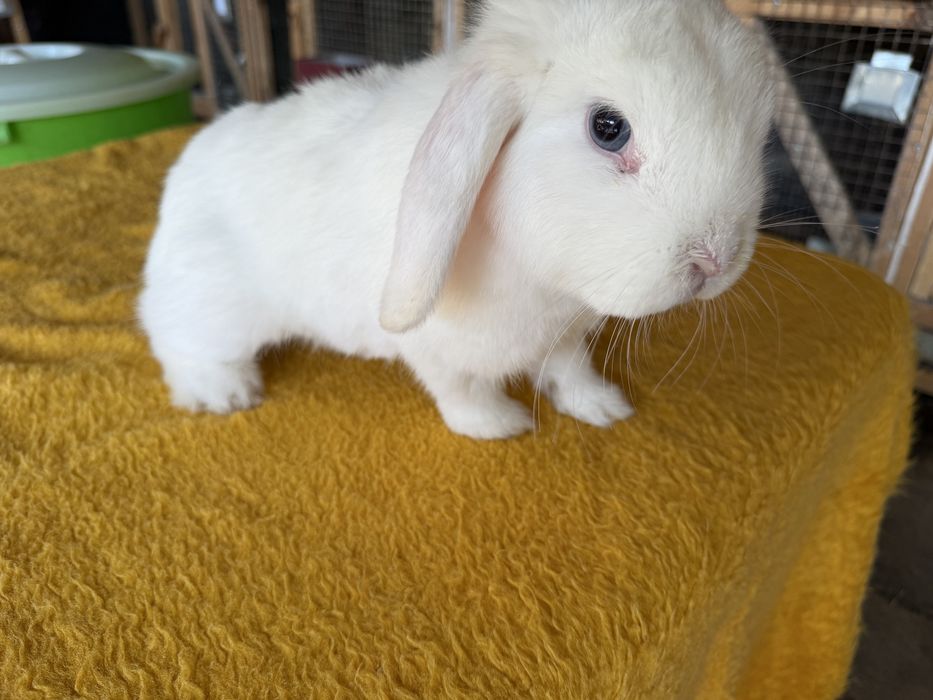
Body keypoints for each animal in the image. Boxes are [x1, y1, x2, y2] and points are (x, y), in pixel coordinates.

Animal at [138, 0, 773, 440]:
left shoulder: (563, 335)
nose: (716, 260)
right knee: (174, 339)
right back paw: (224, 393)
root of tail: (186, 166)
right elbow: (461, 391)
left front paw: (603, 407)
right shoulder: (438, 349)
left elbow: (570, 370)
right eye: (608, 128)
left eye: (756, 130)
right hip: (212, 305)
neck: (545, 282)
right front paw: (501, 425)